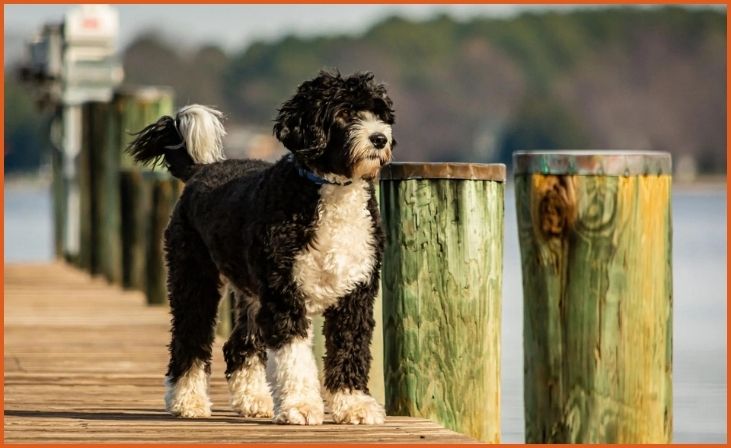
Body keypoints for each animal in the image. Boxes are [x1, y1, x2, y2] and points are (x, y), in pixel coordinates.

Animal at [129, 72, 398, 426]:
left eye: (379, 113)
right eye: (344, 113)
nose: (380, 138)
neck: (328, 190)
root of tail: (201, 170)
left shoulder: (355, 293)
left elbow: (350, 347)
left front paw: (353, 405)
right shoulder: (285, 295)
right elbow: (295, 357)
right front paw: (301, 406)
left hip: (251, 295)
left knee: (238, 346)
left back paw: (253, 400)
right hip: (194, 277)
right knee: (190, 338)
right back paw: (187, 400)